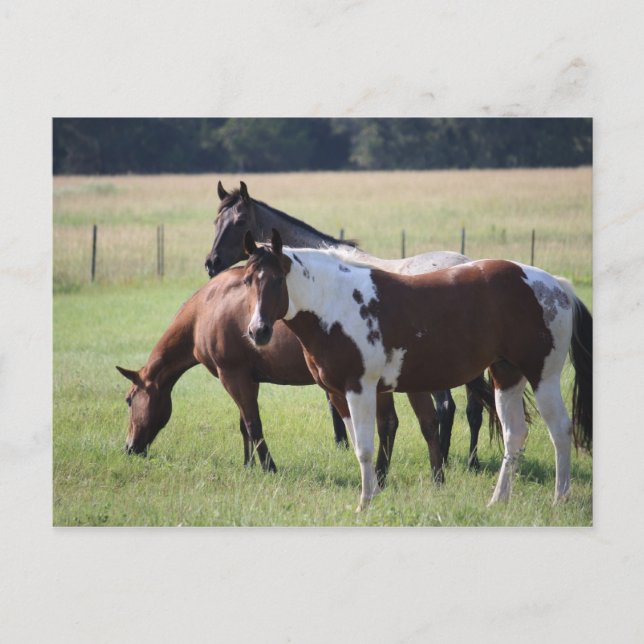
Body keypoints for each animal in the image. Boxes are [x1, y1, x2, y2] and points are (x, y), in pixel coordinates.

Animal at [115, 266, 469, 486]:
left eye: (129, 400)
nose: (129, 447)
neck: (208, 308)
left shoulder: (234, 376)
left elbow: (253, 425)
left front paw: (268, 467)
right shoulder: (247, 379)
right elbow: (244, 425)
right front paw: (248, 465)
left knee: (392, 423)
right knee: (426, 421)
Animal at [204, 180, 490, 469]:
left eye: (240, 221)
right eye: (217, 221)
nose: (211, 263)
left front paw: (342, 442)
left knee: (447, 408)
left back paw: (445, 458)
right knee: (474, 409)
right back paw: (471, 461)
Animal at [241, 229, 592, 511]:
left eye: (277, 280)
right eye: (247, 281)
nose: (258, 331)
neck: (337, 303)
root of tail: (557, 286)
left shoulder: (361, 389)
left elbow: (366, 449)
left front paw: (364, 504)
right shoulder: (339, 394)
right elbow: (357, 446)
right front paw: (370, 496)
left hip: (543, 378)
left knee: (561, 430)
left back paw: (559, 498)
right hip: (506, 377)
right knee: (514, 434)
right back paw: (498, 500)